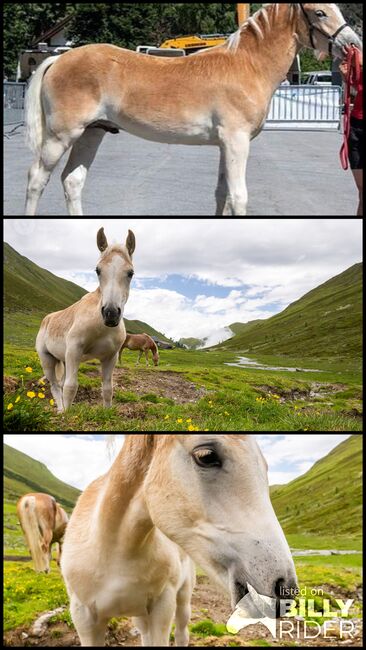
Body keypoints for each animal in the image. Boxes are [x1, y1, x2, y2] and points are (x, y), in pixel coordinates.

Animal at [25, 3, 360, 215]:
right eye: (320, 12)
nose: (352, 43)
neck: (247, 64)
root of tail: (60, 58)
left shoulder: (225, 145)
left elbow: (222, 196)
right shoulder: (236, 141)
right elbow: (239, 197)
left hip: (92, 134)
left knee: (72, 181)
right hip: (60, 136)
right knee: (36, 179)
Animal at [35, 228, 136, 410]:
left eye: (130, 273)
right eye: (98, 270)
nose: (110, 313)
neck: (101, 326)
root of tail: (47, 319)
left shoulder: (110, 357)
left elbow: (107, 389)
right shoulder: (74, 351)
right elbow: (70, 387)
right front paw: (67, 414)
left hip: (64, 360)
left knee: (60, 384)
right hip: (47, 360)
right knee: (55, 386)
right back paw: (61, 410)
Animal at [62, 432, 298, 644]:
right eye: (206, 456)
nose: (284, 589)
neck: (115, 552)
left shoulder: (162, 608)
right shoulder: (84, 618)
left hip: (182, 601)